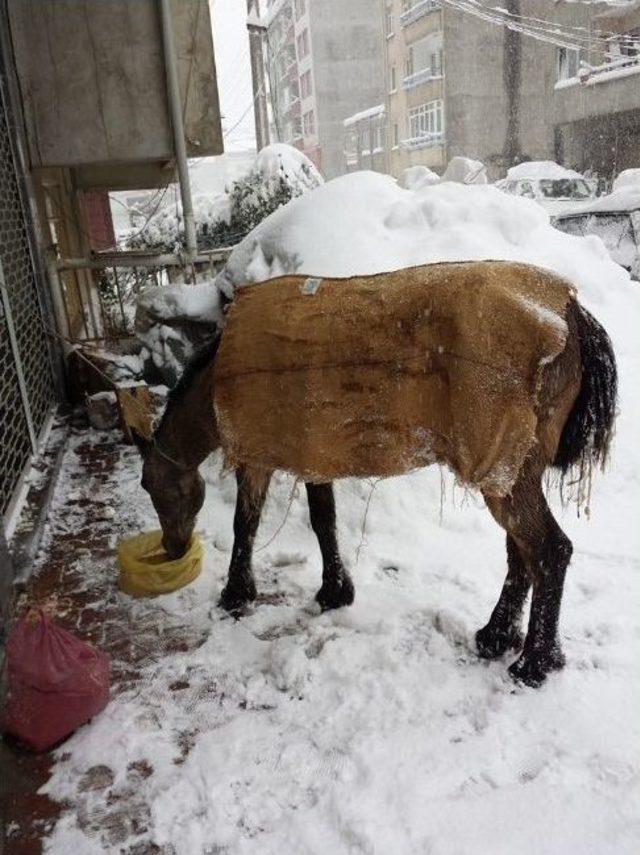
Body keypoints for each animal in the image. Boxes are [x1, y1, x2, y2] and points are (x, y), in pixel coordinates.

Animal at [132, 262, 616, 688]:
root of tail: (571, 311)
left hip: (504, 471)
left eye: (150, 485)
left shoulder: (255, 456)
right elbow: (323, 521)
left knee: (550, 552)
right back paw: (498, 637)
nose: (174, 549)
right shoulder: (313, 452)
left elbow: (245, 524)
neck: (221, 374)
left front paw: (236, 593)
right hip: (509, 472)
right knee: (523, 555)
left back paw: (534, 663)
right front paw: (335, 591)